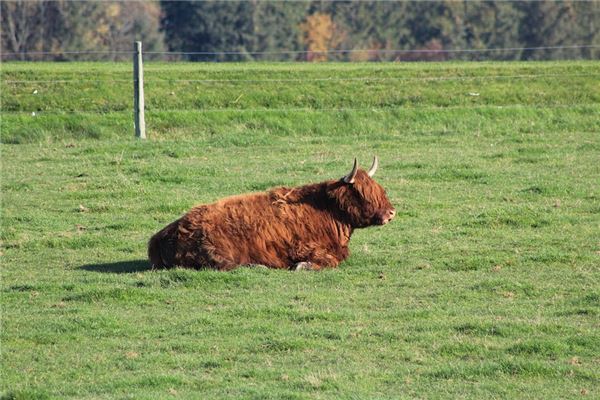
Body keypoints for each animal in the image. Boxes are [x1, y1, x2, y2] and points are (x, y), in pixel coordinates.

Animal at [148, 158, 396, 270]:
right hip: (216, 251)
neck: (326, 209)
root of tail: (162, 235)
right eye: (362, 193)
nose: (391, 212)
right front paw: (302, 266)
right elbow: (329, 260)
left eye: (379, 188)